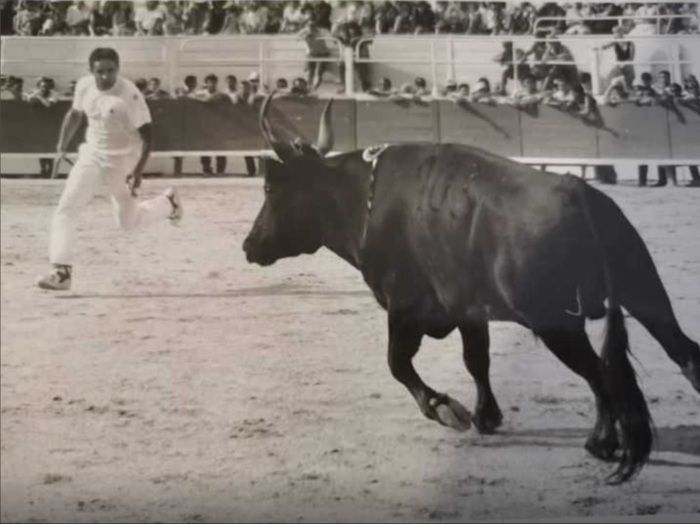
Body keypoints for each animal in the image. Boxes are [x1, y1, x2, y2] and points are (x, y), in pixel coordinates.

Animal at [242, 94, 700, 484]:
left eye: (269, 188)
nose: (249, 245)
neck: (363, 201)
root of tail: (577, 192)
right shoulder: (468, 310)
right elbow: (476, 360)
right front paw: (486, 416)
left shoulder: (404, 306)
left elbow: (397, 364)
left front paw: (447, 410)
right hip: (645, 293)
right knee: (683, 354)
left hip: (557, 324)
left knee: (601, 374)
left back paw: (602, 442)